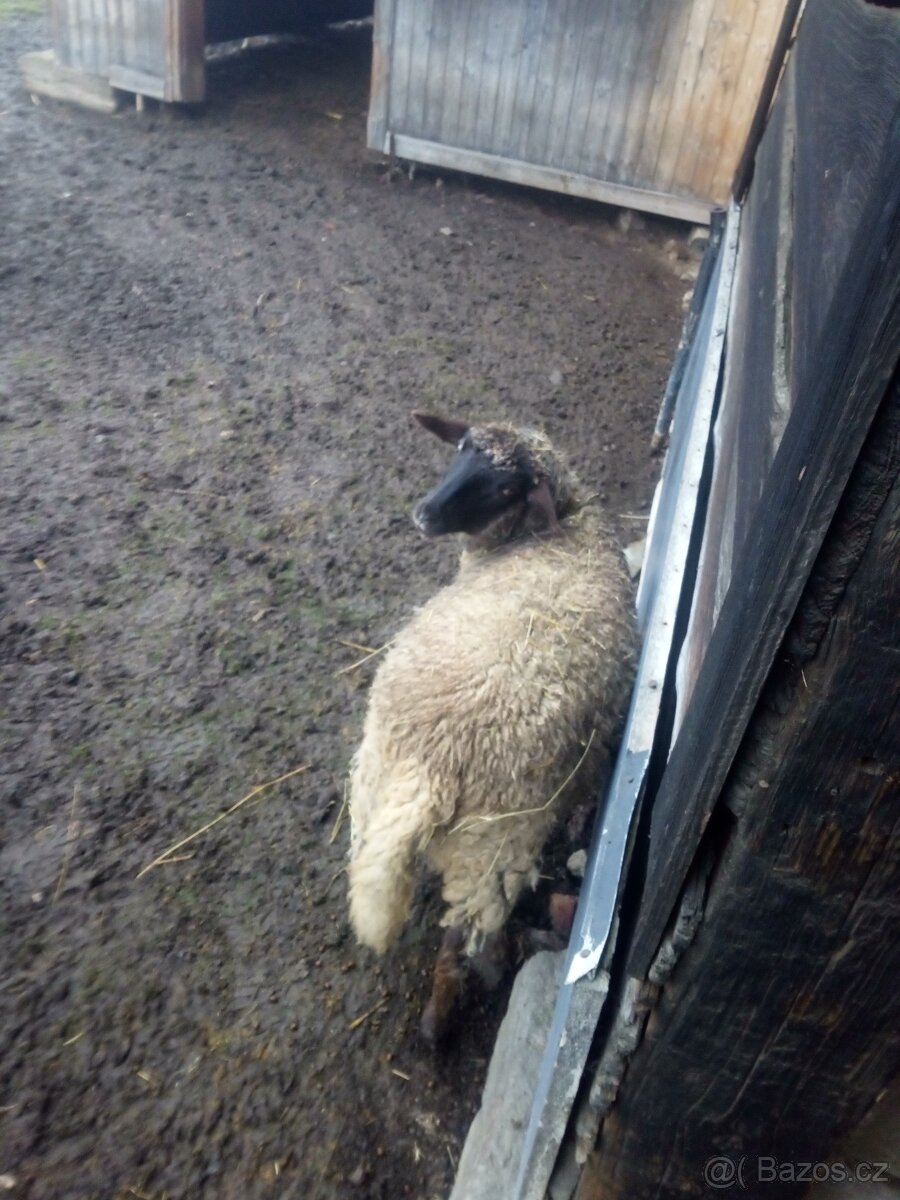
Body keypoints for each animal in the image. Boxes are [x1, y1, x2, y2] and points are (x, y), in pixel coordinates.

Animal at [347, 411, 638, 1038]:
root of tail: (427, 766)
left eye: (506, 489)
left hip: (488, 849)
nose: (424, 513)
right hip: (392, 799)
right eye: (460, 448)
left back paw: (441, 1018)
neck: (559, 525)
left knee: (467, 937)